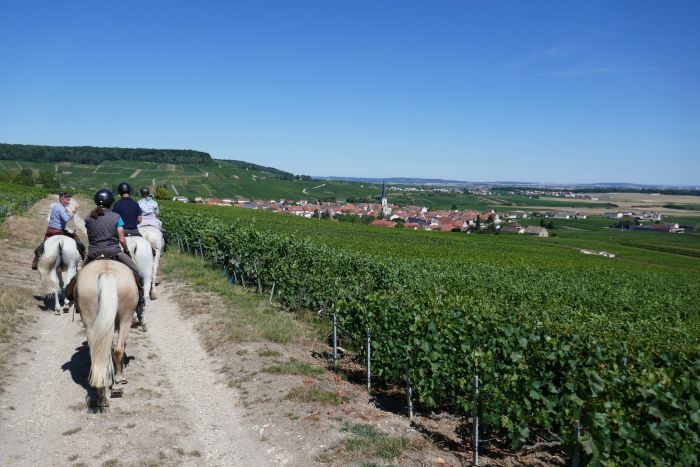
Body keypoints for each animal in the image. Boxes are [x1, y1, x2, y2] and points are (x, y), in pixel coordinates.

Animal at [74, 260, 139, 410]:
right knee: (119, 349)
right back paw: (118, 382)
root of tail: (106, 272)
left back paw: (102, 396)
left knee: (98, 356)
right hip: (126, 319)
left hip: (90, 322)